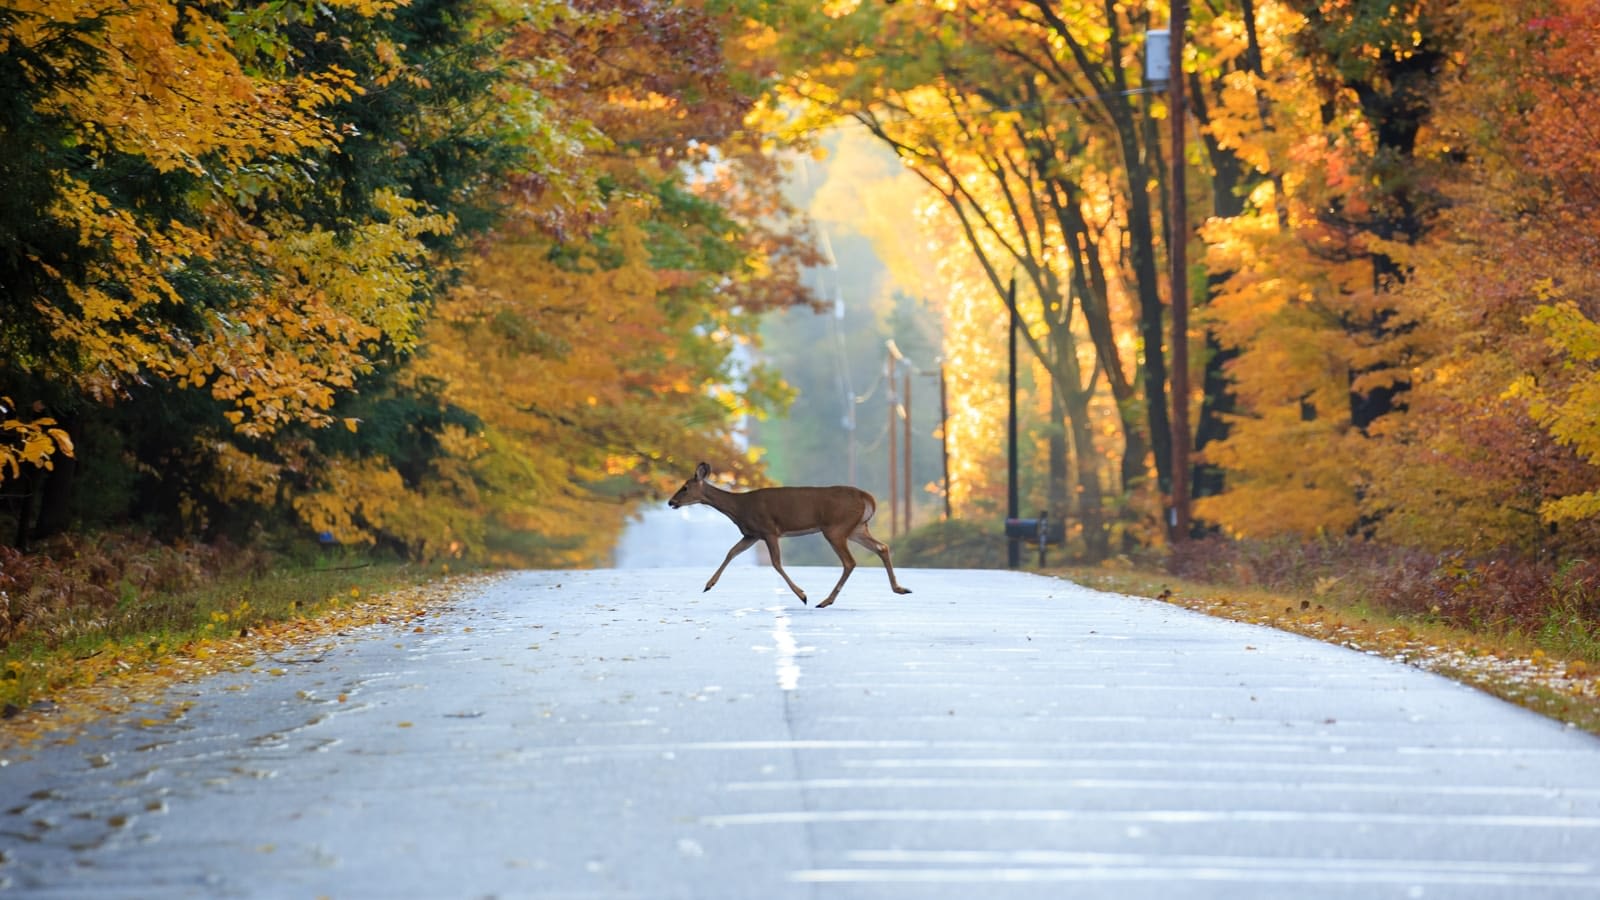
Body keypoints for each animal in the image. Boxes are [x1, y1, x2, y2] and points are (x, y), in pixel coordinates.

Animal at [665, 458, 915, 605]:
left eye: (685, 487)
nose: (671, 502)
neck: (739, 508)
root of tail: (868, 498)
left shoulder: (768, 529)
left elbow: (776, 563)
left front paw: (802, 595)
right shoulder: (751, 534)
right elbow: (731, 553)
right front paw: (709, 585)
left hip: (836, 527)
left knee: (850, 561)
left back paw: (825, 600)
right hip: (856, 527)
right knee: (882, 547)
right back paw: (900, 588)